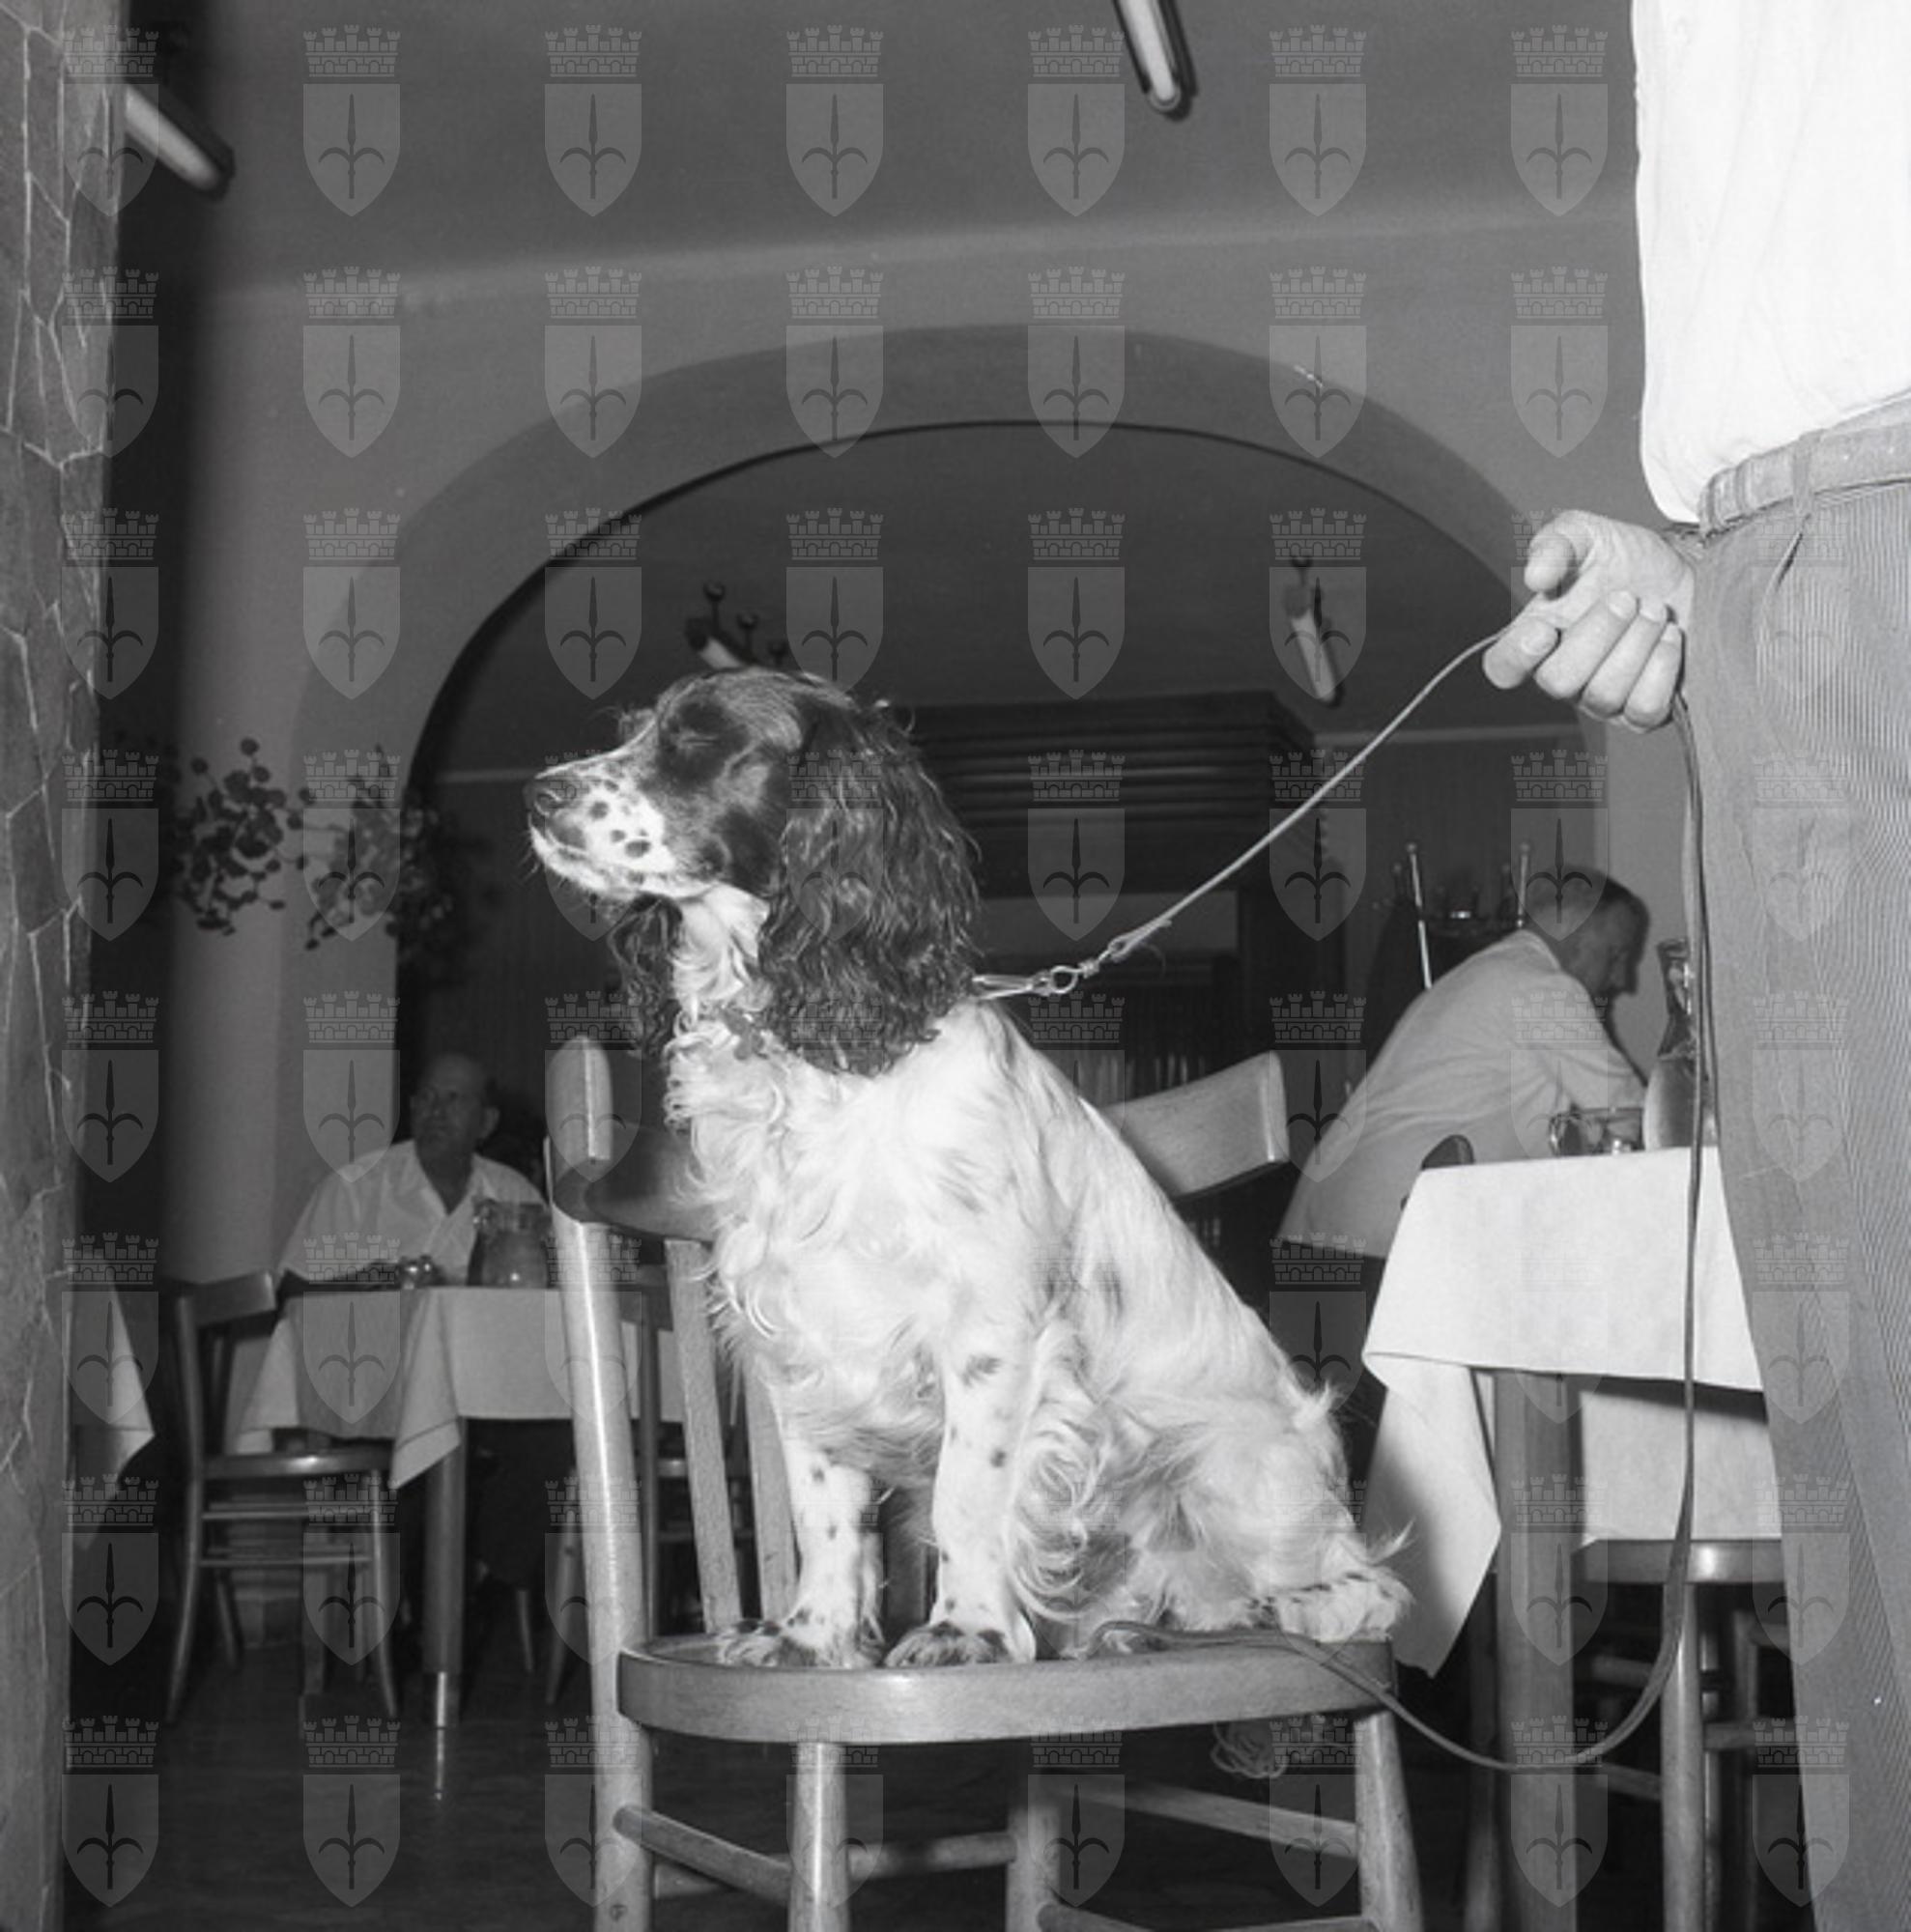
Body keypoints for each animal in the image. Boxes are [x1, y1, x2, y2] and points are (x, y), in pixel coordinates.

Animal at [528, 667, 1406, 1667]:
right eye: (634, 729)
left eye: (701, 742)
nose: (537, 794)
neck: (813, 1045)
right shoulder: (803, 1340)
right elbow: (822, 1511)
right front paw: (812, 1636)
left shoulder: (993, 1334)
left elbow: (967, 1497)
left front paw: (968, 1629)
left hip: (1239, 1467)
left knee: (1364, 1588)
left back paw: (1296, 1610)